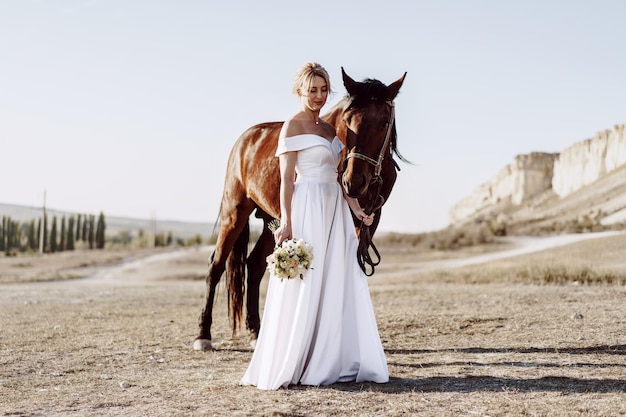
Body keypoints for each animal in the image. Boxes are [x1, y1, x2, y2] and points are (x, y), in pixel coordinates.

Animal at [195, 68, 410, 352]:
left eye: (384, 122)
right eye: (348, 120)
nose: (353, 182)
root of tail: (247, 138)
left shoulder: (369, 220)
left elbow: (356, 264)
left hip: (275, 221)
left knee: (254, 265)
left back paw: (256, 332)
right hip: (235, 213)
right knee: (216, 266)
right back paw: (203, 335)